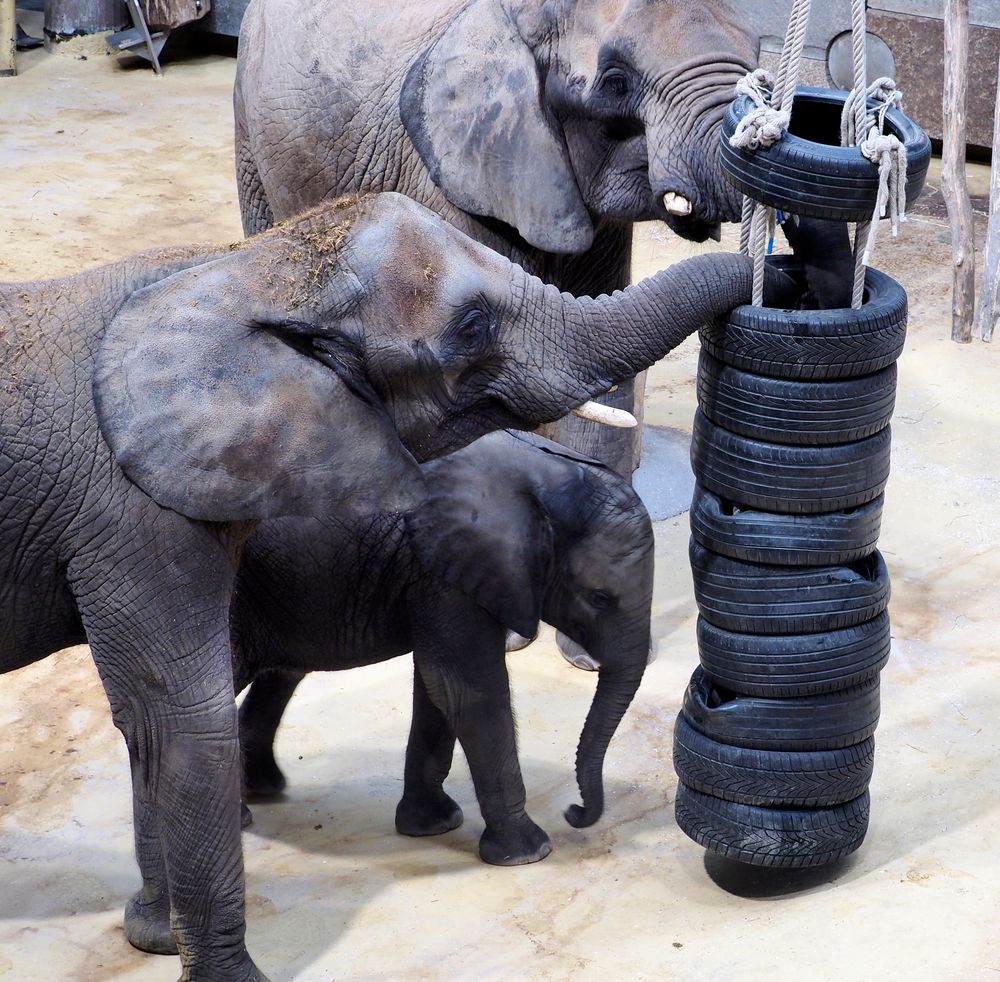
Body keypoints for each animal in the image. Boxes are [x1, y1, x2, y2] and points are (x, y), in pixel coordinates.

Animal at [234, 430, 656, 868]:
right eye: (599, 598)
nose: (574, 812)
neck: (547, 475)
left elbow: (436, 688)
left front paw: (433, 825)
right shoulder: (445, 573)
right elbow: (468, 691)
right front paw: (529, 853)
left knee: (283, 673)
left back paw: (262, 788)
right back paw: (244, 816)